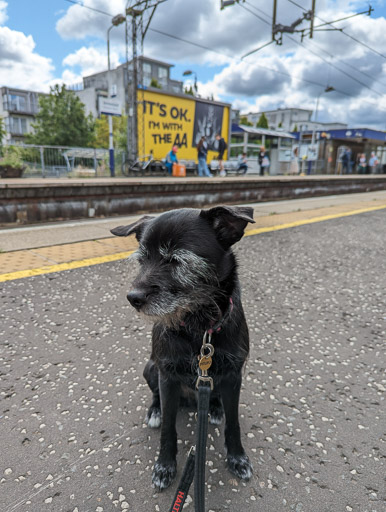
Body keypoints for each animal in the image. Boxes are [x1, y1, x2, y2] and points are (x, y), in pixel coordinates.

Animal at [111, 204, 255, 488]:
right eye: (142, 260)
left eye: (176, 260)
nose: (133, 298)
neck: (198, 328)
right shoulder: (167, 376)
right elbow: (169, 427)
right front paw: (165, 465)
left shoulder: (235, 375)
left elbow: (233, 423)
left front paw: (237, 457)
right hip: (150, 368)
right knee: (157, 397)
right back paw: (155, 411)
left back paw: (214, 408)